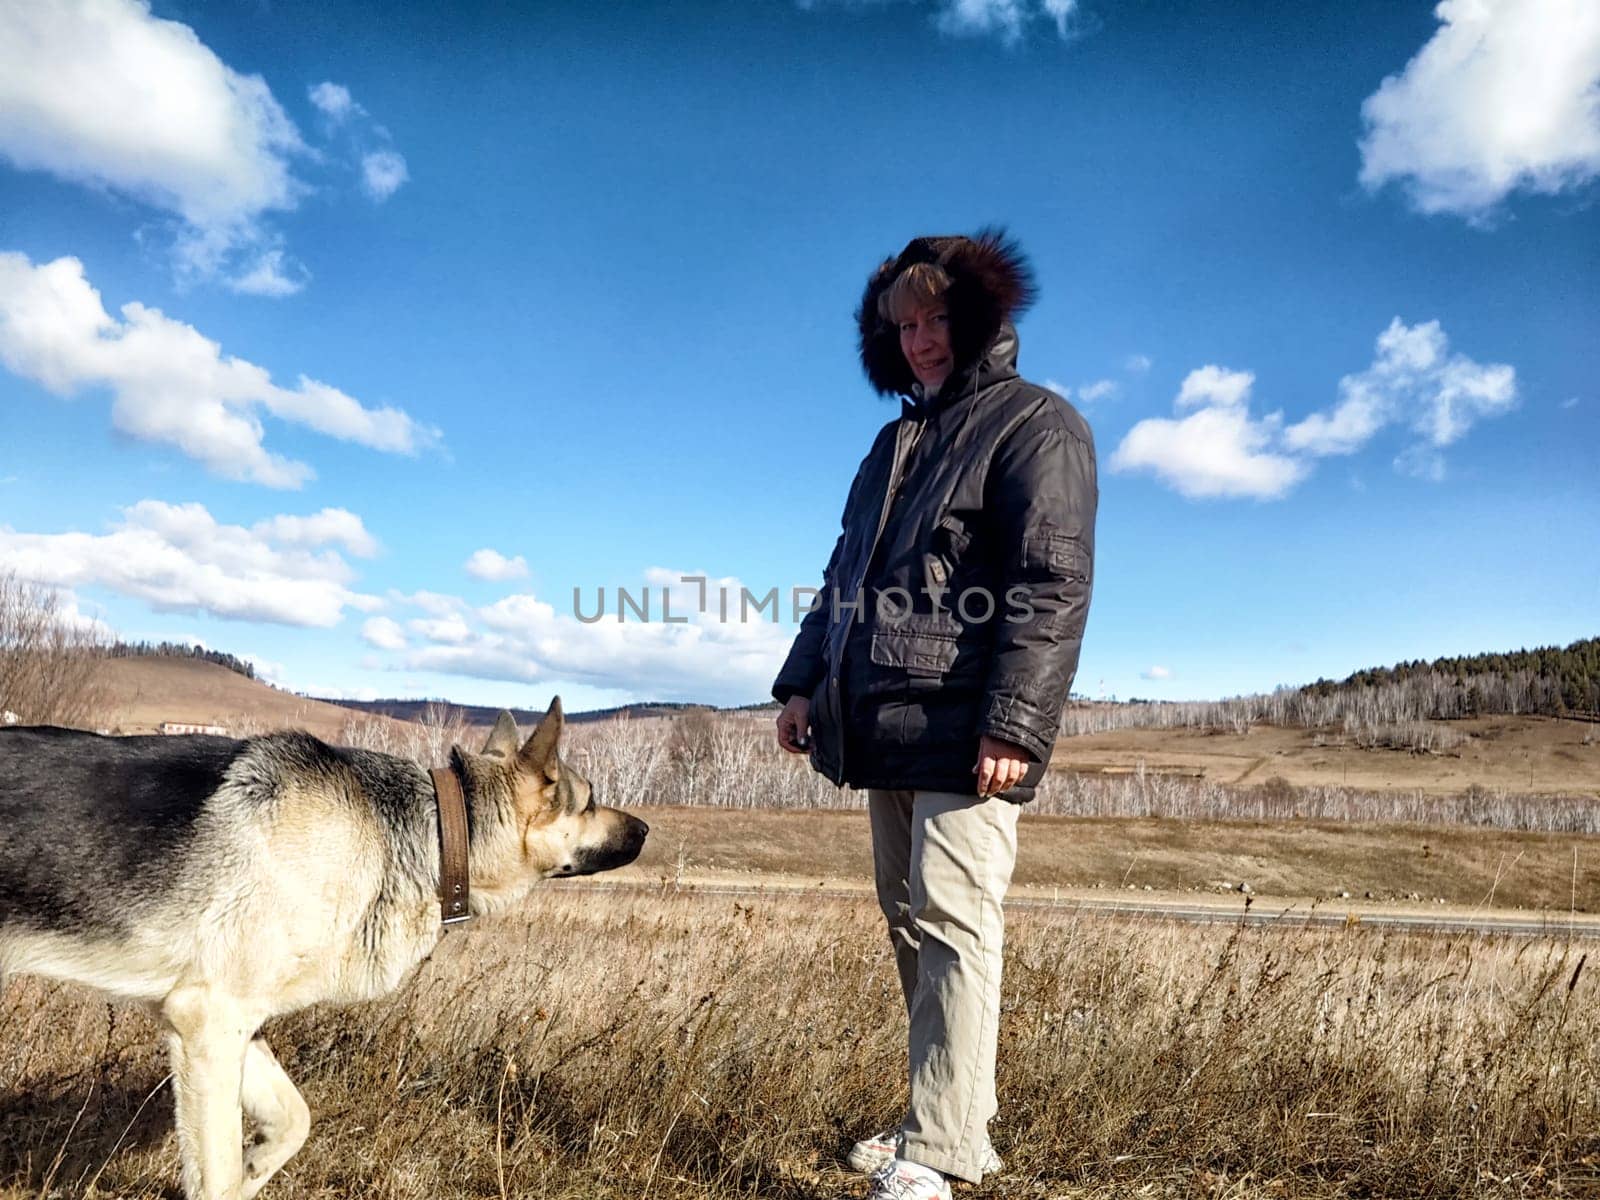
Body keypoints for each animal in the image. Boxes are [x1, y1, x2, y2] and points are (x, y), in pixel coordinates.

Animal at [0, 700, 643, 1196]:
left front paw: (256, 1166)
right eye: (588, 801)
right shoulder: (210, 1021)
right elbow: (218, 1174)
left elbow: (292, 1122)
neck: (432, 831)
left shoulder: (223, 1024)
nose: (645, 829)